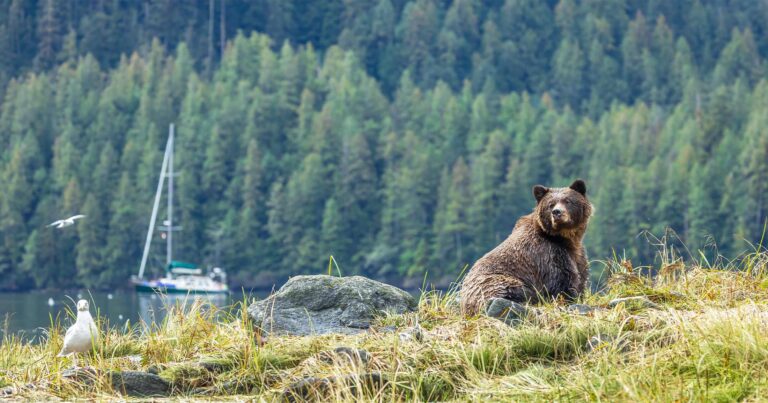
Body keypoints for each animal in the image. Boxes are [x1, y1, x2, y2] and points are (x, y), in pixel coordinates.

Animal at [460, 179, 593, 316]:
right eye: (551, 204)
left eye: (568, 201)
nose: (557, 212)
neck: (564, 239)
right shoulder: (548, 254)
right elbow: (561, 282)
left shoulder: (577, 255)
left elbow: (581, 276)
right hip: (496, 283)